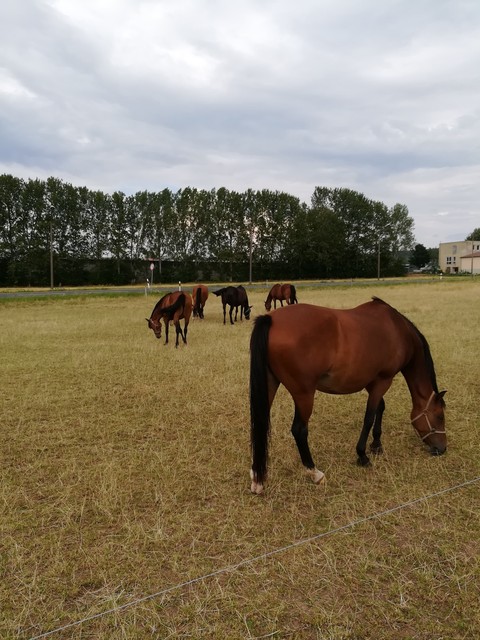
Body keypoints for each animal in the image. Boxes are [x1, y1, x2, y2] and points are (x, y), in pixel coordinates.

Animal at [249, 297, 447, 494]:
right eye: (440, 416)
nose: (442, 448)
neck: (398, 331)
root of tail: (271, 319)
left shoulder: (372, 382)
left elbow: (380, 408)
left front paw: (376, 444)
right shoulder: (383, 380)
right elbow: (369, 417)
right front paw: (362, 455)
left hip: (270, 384)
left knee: (260, 424)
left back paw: (257, 477)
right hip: (304, 394)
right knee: (299, 430)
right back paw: (315, 473)